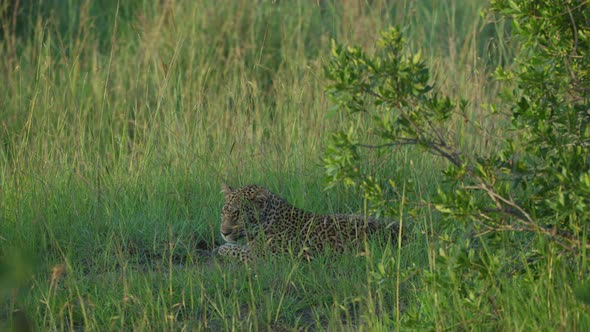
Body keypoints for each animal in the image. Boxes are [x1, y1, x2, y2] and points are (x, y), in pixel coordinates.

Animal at [213, 184, 398, 262]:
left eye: (237, 214)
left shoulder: (263, 256)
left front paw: (221, 248)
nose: (223, 232)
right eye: (223, 213)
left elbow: (233, 249)